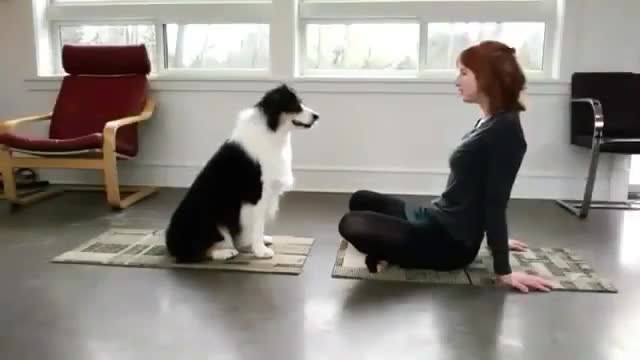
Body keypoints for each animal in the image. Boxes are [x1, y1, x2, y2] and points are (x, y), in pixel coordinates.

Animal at [162, 86, 318, 262]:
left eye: (301, 102)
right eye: (294, 105)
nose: (317, 116)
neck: (271, 129)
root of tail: (170, 244)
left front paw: (260, 242)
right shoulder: (257, 194)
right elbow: (258, 225)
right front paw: (261, 251)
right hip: (210, 222)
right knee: (196, 253)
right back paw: (226, 252)